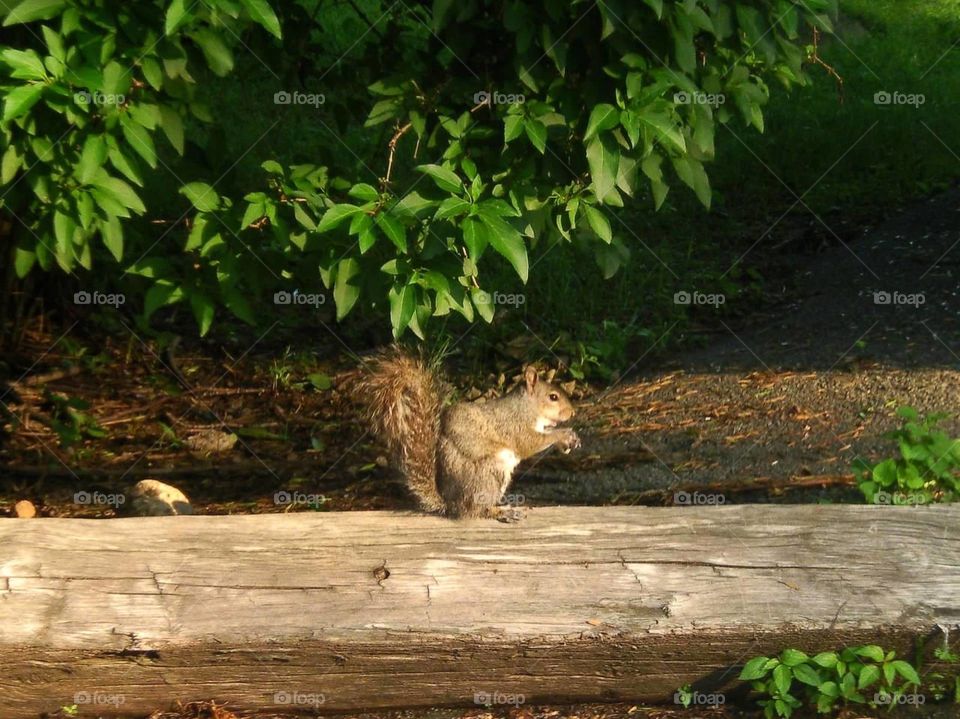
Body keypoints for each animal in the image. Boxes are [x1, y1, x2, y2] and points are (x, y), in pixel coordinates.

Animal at [355, 348, 581, 519]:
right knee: (477, 510)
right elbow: (529, 443)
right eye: (553, 397)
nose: (572, 412)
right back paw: (500, 512)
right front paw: (563, 435)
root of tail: (451, 504)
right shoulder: (514, 425)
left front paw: (569, 441)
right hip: (491, 471)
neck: (527, 406)